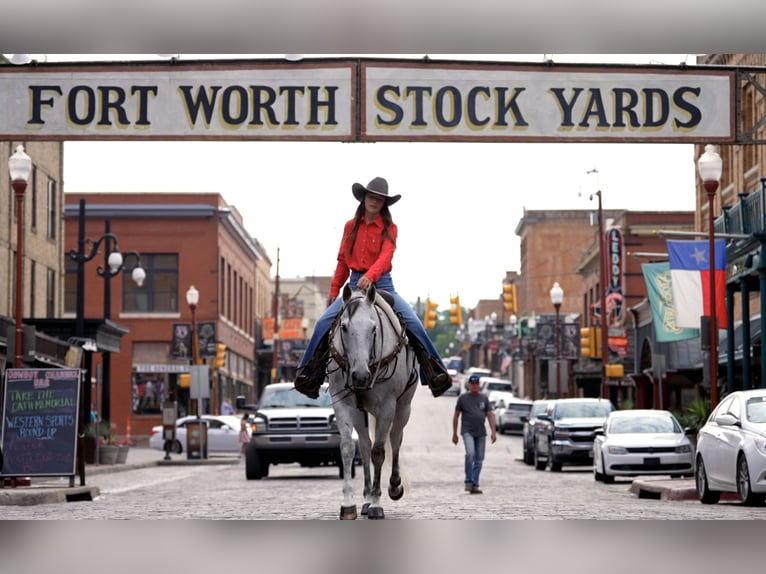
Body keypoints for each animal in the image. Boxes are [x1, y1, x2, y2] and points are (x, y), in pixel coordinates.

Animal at [330, 286, 420, 520]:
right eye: (344, 327)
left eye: (373, 329)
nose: (360, 376)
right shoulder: (342, 404)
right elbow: (347, 448)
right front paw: (348, 504)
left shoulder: (387, 406)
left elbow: (379, 452)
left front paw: (378, 503)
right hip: (360, 413)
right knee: (363, 446)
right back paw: (366, 498)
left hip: (403, 407)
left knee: (395, 439)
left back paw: (394, 486)